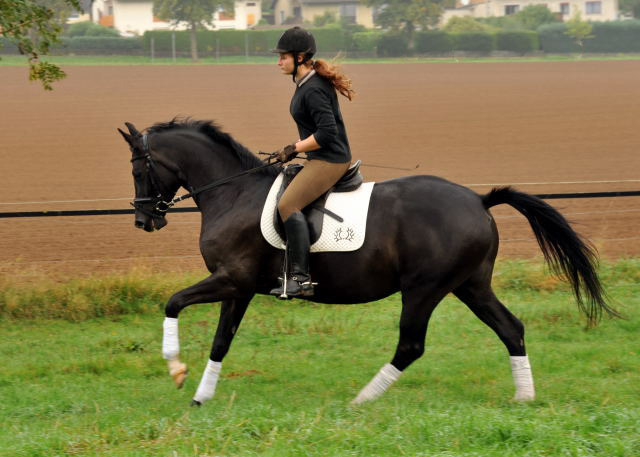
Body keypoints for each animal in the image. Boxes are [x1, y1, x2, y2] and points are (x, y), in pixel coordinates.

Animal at [119, 119, 616, 404]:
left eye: (138, 167)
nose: (144, 219)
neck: (233, 192)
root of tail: (478, 200)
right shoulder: (238, 287)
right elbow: (222, 341)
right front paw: (201, 396)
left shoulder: (230, 280)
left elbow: (172, 303)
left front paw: (175, 369)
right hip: (470, 285)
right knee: (511, 328)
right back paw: (524, 397)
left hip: (424, 289)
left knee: (411, 345)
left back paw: (362, 399)